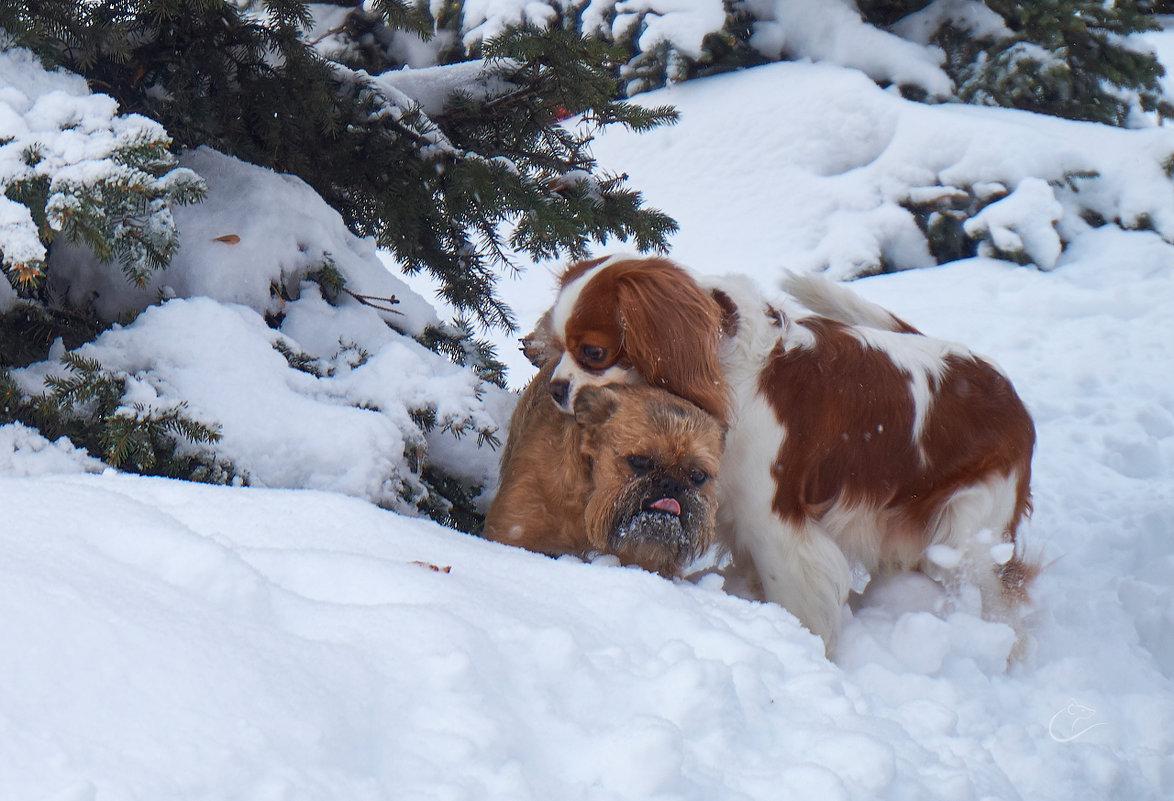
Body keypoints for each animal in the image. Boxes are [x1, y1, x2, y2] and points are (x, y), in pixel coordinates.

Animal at [528, 253, 1033, 648]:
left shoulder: (773, 521)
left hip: (970, 537)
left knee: (1000, 596)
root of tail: (1004, 385)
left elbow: (795, 597)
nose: (555, 388)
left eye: (593, 353)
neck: (724, 368)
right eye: (558, 347)